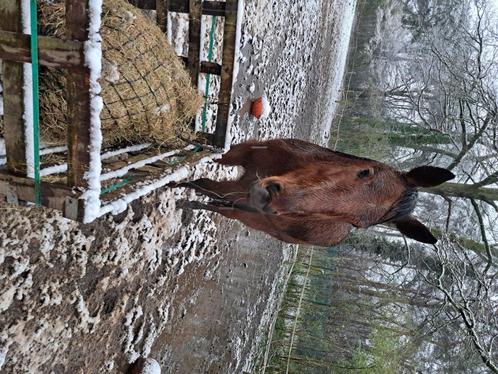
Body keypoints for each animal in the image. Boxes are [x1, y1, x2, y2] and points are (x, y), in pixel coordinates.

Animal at [172, 139, 456, 247]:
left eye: (356, 223)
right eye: (365, 172)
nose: (266, 196)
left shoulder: (241, 193)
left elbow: (201, 183)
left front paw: (175, 192)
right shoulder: (242, 154)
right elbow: (209, 165)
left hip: (248, 214)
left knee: (218, 205)